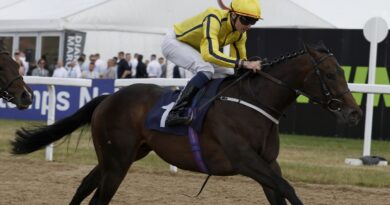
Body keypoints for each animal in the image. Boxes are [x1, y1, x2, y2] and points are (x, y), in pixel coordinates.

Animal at [10, 42, 362, 204]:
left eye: (343, 72)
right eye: (331, 74)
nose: (355, 114)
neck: (256, 102)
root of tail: (108, 98)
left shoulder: (267, 164)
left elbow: (281, 190)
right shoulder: (245, 161)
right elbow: (288, 188)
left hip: (121, 156)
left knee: (85, 184)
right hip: (117, 160)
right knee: (99, 197)